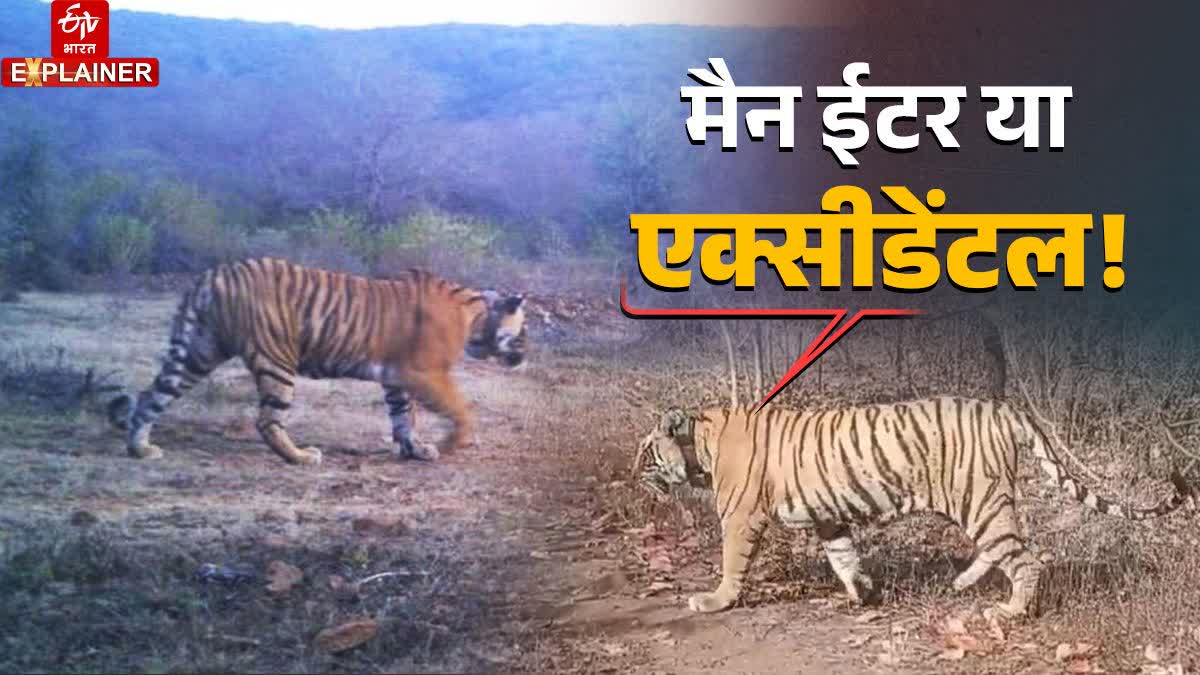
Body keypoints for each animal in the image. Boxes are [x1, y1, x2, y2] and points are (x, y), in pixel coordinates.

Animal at [106, 257, 528, 465]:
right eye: (524, 329)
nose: (526, 356)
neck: (476, 316)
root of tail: (214, 275)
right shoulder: (424, 373)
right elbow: (460, 408)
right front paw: (454, 442)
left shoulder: (396, 377)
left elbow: (402, 417)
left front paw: (415, 451)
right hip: (277, 359)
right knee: (268, 420)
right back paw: (301, 457)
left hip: (198, 352)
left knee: (151, 396)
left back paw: (139, 449)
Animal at [636, 397, 1194, 618]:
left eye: (645, 455)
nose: (631, 476)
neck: (701, 446)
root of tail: (1002, 407)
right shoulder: (829, 517)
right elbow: (844, 558)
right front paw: (863, 594)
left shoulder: (740, 518)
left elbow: (732, 564)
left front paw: (714, 601)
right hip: (986, 502)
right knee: (1009, 548)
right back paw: (964, 583)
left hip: (978, 499)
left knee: (1026, 559)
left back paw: (1012, 610)